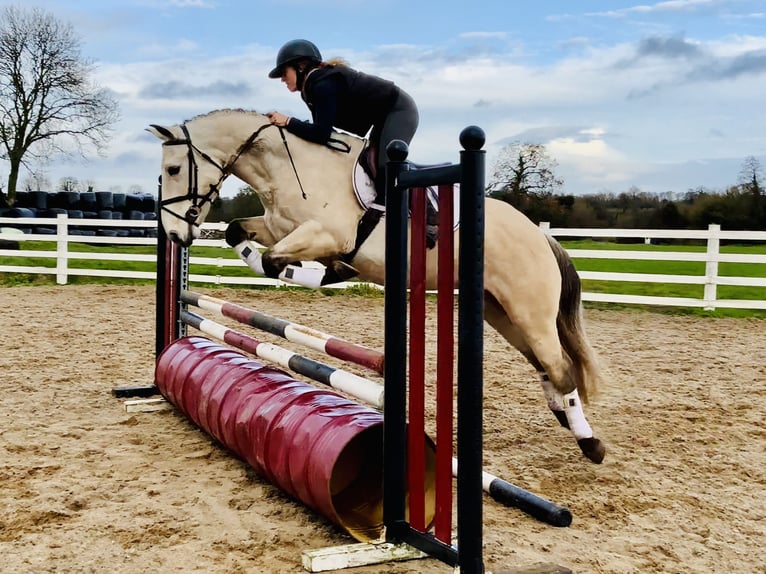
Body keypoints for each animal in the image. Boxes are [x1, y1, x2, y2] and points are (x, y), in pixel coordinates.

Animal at [147, 109, 606, 464]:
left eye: (174, 169)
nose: (175, 235)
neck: (288, 169)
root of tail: (540, 236)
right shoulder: (277, 227)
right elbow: (237, 232)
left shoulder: (326, 234)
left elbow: (277, 261)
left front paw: (330, 272)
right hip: (501, 312)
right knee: (545, 365)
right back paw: (568, 420)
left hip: (529, 312)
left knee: (560, 367)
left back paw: (591, 444)